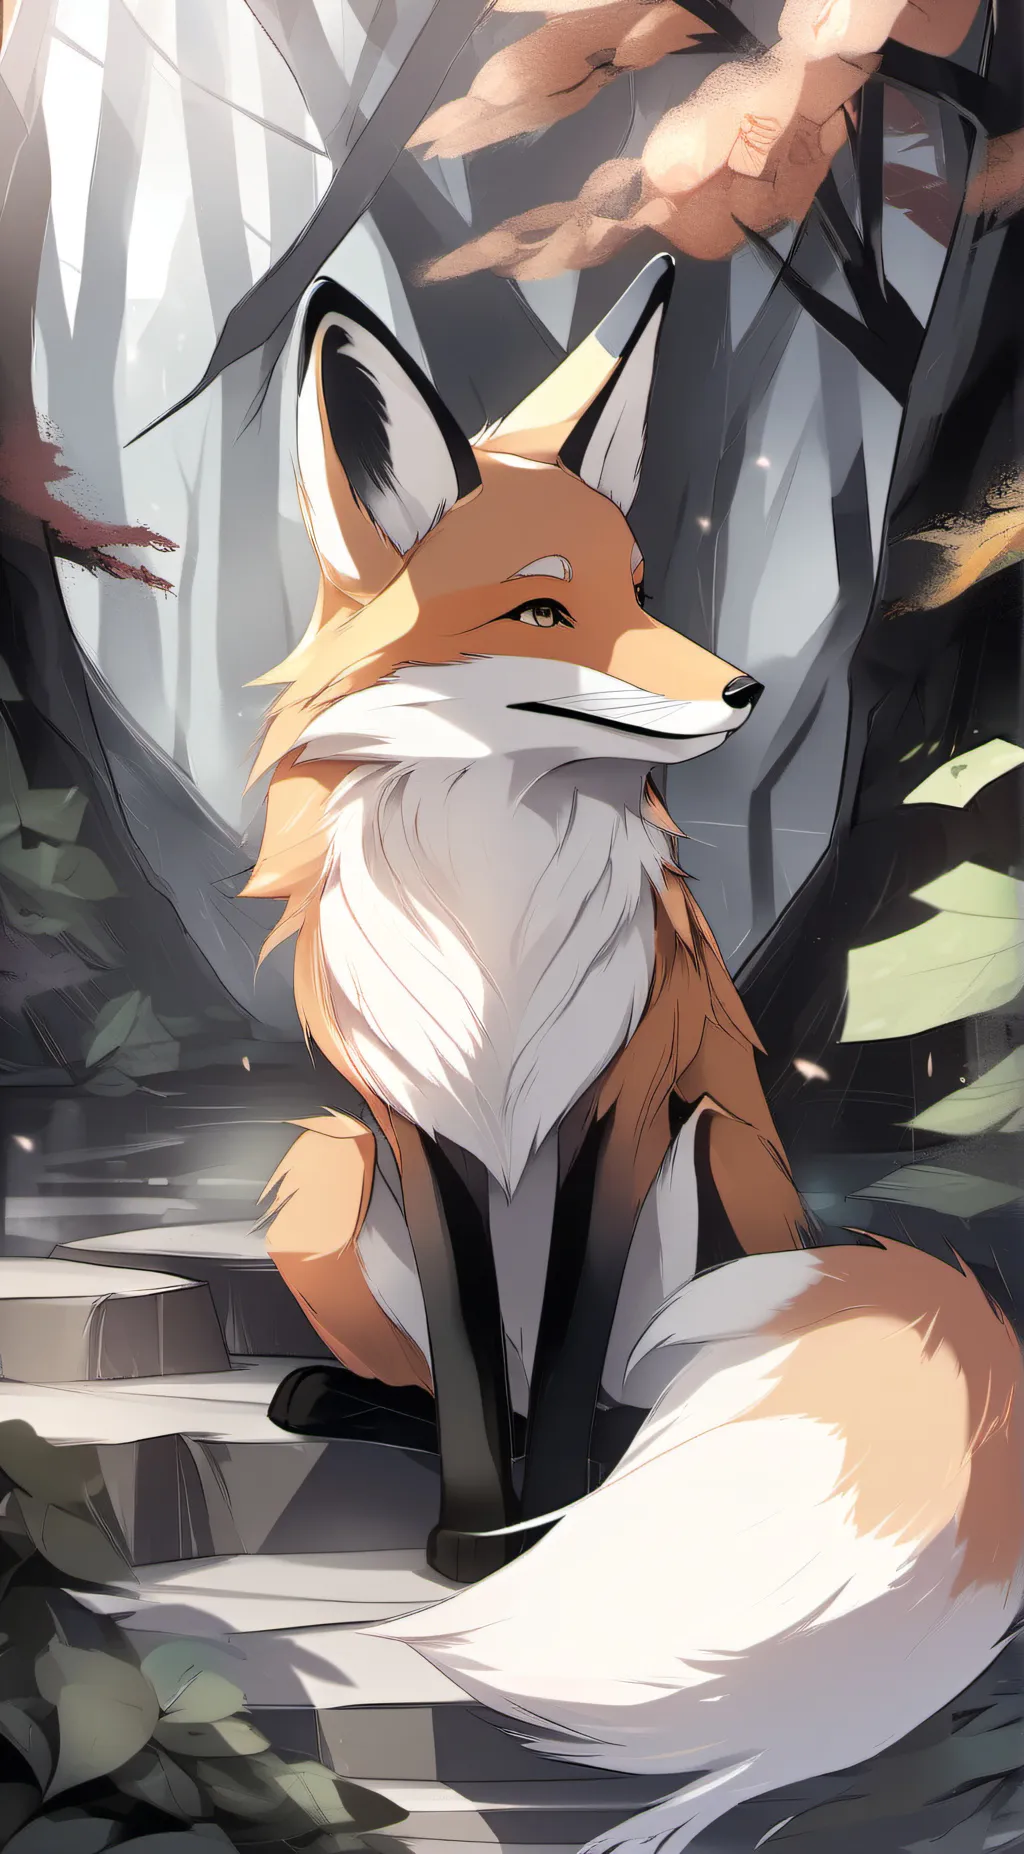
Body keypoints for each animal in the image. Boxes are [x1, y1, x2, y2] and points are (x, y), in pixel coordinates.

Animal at [245, 255, 1024, 1854]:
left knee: (622, 1389)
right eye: (547, 608)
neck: (492, 898)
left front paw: (535, 1523)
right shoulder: (410, 1125)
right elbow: (470, 1373)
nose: (740, 691)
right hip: (322, 1169)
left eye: (646, 593)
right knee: (444, 1382)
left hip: (720, 1166)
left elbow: (563, 1362)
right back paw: (361, 1405)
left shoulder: (623, 1104)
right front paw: (473, 1533)